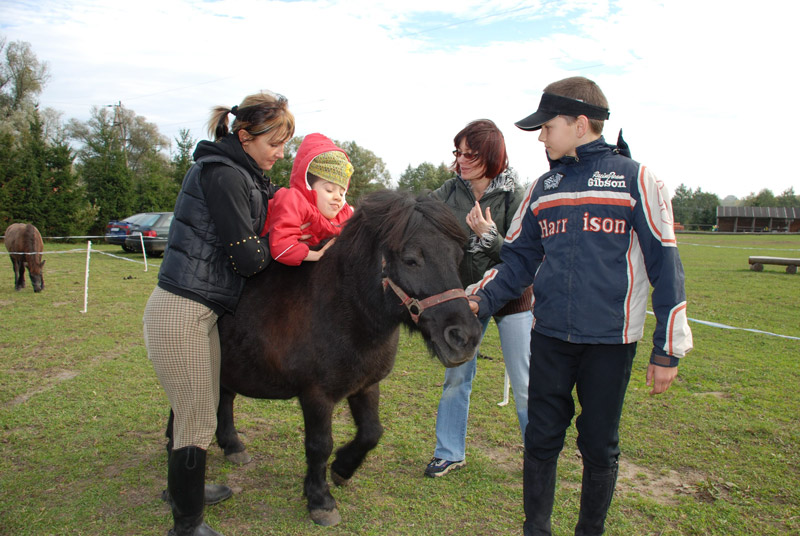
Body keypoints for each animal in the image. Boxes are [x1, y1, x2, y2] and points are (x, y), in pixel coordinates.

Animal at [209, 189, 478, 528]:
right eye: (411, 259)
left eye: (456, 257)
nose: (464, 338)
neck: (345, 309)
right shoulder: (316, 396)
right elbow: (319, 445)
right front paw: (320, 500)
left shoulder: (366, 386)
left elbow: (372, 432)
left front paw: (342, 469)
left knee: (222, 400)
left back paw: (231, 445)